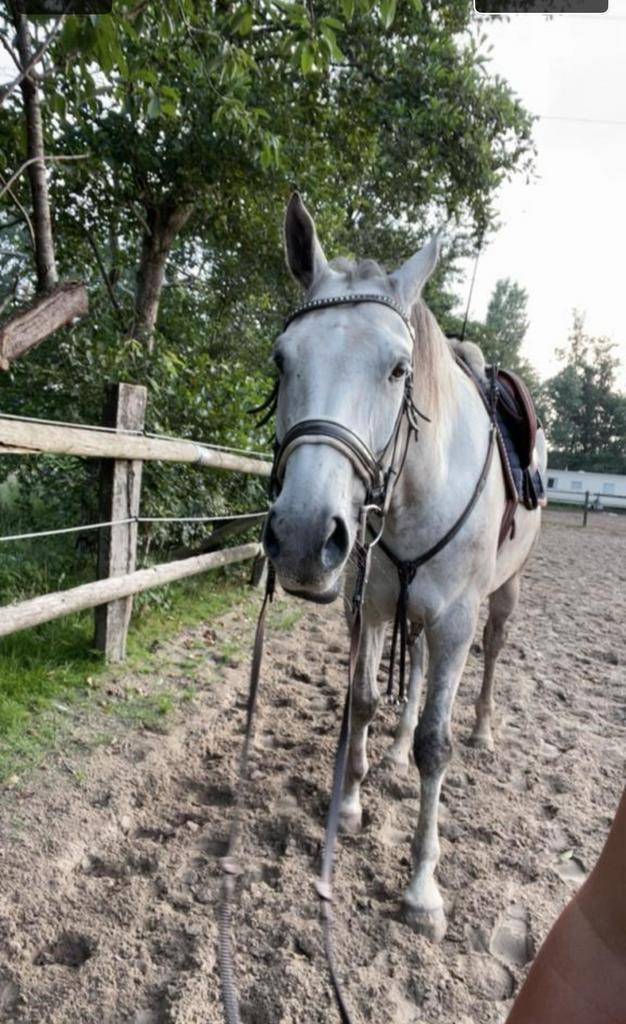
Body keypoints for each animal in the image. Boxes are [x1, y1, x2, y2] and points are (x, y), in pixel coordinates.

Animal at [263, 192, 547, 942]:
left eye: (397, 369)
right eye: (281, 360)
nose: (302, 536)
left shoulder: (455, 623)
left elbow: (435, 746)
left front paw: (422, 888)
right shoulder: (368, 605)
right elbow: (363, 701)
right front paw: (351, 805)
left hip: (501, 596)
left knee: (491, 656)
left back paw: (482, 729)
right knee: (410, 672)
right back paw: (388, 757)